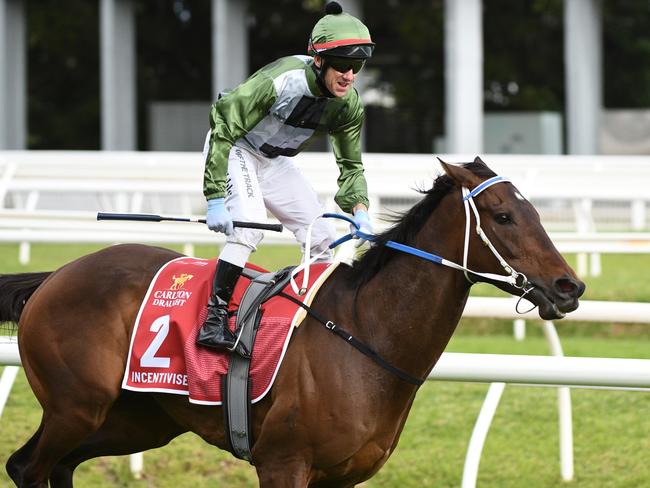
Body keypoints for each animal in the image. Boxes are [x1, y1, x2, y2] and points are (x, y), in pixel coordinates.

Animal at [2, 158, 584, 486]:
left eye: (535, 213)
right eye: (504, 216)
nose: (569, 287)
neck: (364, 334)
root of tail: (57, 275)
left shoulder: (341, 477)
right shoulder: (282, 464)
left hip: (137, 419)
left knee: (59, 467)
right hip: (76, 407)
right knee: (27, 468)